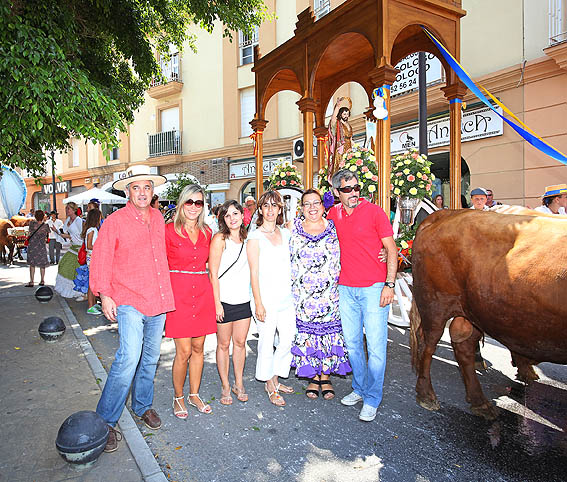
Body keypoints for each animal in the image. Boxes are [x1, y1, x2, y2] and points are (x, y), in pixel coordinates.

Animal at [410, 209, 567, 420]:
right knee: (428, 343)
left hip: (472, 312)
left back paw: (481, 401)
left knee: (462, 344)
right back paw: (426, 395)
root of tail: (446, 213)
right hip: (434, 304)